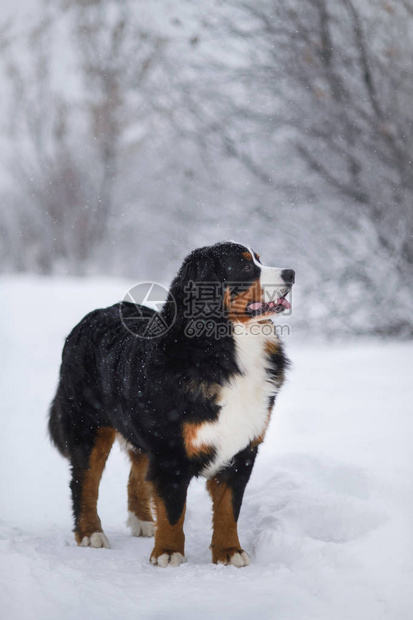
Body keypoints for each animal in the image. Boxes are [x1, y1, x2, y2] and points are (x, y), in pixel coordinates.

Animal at [49, 241, 292, 568]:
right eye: (243, 266)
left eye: (259, 260)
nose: (291, 274)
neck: (224, 349)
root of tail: (96, 314)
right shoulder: (170, 450)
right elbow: (173, 508)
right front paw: (168, 552)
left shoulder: (241, 448)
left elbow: (229, 508)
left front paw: (229, 551)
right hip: (89, 427)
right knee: (84, 481)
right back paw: (90, 533)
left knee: (136, 475)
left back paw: (141, 521)